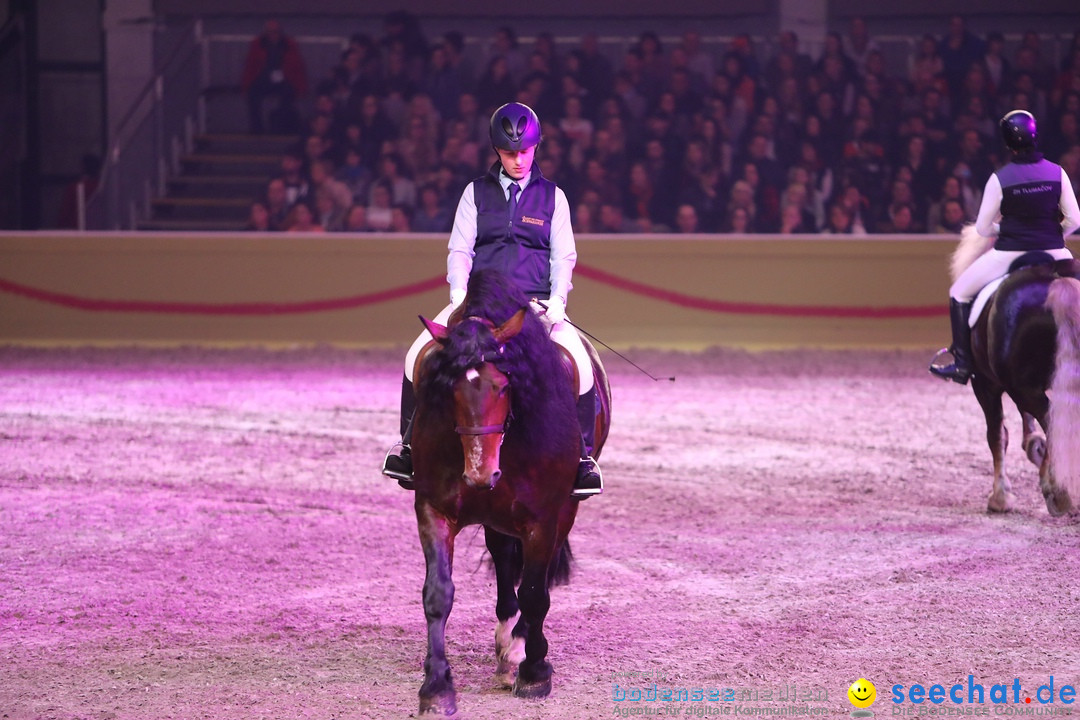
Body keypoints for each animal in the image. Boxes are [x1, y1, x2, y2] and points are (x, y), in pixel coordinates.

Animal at [406, 269, 609, 716]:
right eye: (449, 388)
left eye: (504, 384)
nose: (481, 473)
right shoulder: (433, 509)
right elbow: (438, 594)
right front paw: (436, 687)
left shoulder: (543, 518)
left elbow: (535, 592)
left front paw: (534, 672)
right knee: (502, 557)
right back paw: (506, 640)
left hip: (563, 512)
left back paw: (518, 649)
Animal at [954, 227, 1080, 515]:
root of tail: (1056, 278)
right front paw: (1035, 446)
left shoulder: (985, 383)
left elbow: (996, 435)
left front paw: (1000, 497)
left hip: (1019, 386)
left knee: (1051, 421)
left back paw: (1057, 491)